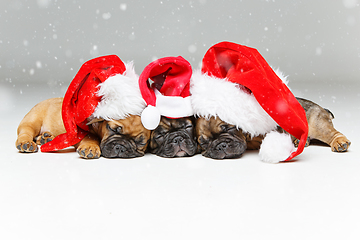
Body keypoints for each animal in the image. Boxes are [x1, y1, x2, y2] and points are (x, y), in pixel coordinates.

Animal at [15, 97, 150, 159]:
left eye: (141, 143)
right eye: (112, 129)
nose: (121, 147)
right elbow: (91, 137)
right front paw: (91, 147)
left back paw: (46, 138)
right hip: (32, 121)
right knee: (25, 132)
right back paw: (26, 143)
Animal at [197, 97, 352, 159]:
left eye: (229, 128)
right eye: (203, 143)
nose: (220, 145)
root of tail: (322, 108)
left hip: (317, 124)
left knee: (332, 133)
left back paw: (340, 142)